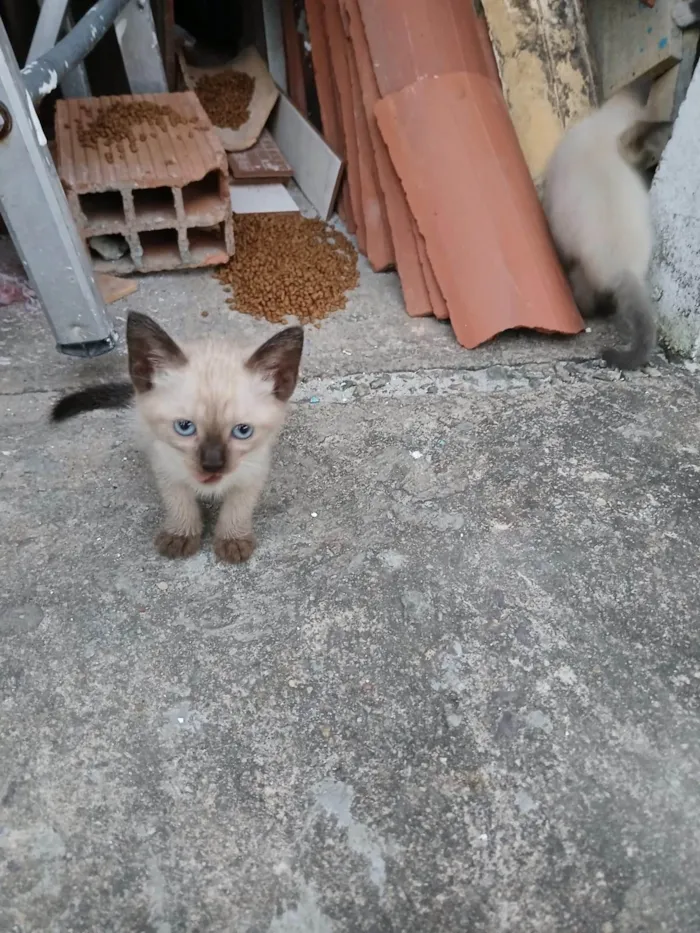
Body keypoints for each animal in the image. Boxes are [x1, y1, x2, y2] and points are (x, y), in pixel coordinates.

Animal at [52, 312, 304, 560]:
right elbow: (179, 503)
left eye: (243, 431)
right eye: (185, 427)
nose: (212, 466)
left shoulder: (253, 469)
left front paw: (233, 539)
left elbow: (238, 506)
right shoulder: (166, 466)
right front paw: (180, 535)